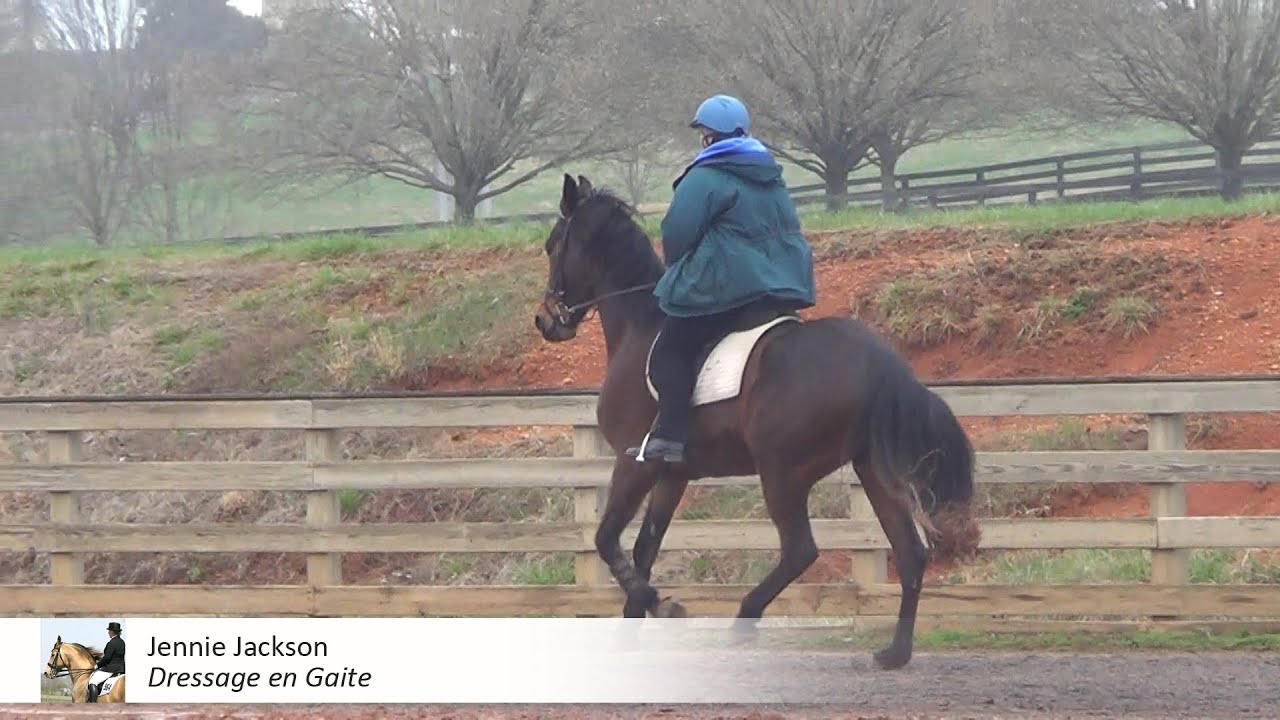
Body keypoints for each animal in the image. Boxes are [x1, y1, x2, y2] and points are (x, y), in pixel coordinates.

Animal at [533, 173, 981, 669]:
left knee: (801, 550)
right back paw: (895, 652)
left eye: (553, 245)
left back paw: (743, 620)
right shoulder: (671, 475)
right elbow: (643, 548)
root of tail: (881, 361)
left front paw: (662, 606)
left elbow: (607, 540)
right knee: (910, 551)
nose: (545, 321)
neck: (641, 326)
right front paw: (627, 640)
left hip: (782, 471)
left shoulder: (635, 463)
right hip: (872, 469)